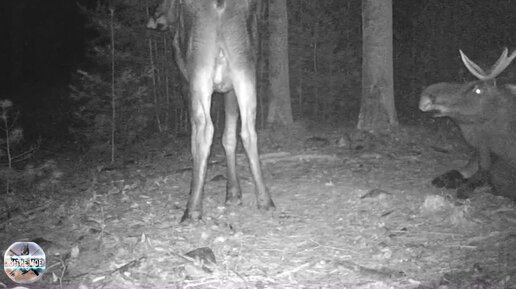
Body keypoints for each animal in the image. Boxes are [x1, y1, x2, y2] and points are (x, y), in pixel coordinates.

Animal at [146, 0, 274, 222]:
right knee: (248, 129)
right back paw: (265, 200)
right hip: (244, 66)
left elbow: (194, 141)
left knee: (205, 129)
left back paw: (192, 209)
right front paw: (233, 193)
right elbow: (229, 138)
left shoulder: (184, 81)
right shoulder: (229, 89)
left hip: (199, 69)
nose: (154, 14)